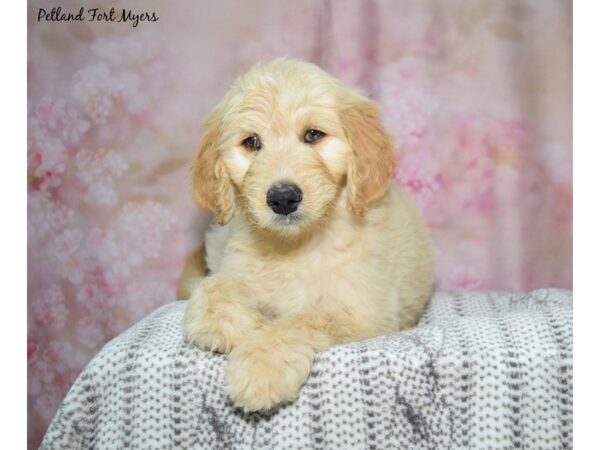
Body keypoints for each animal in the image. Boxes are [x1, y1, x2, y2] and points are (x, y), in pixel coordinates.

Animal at [180, 59, 434, 412]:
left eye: (313, 135)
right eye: (251, 142)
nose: (283, 198)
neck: (294, 244)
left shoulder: (364, 311)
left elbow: (303, 319)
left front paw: (261, 363)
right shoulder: (237, 261)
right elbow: (215, 285)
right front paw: (224, 322)